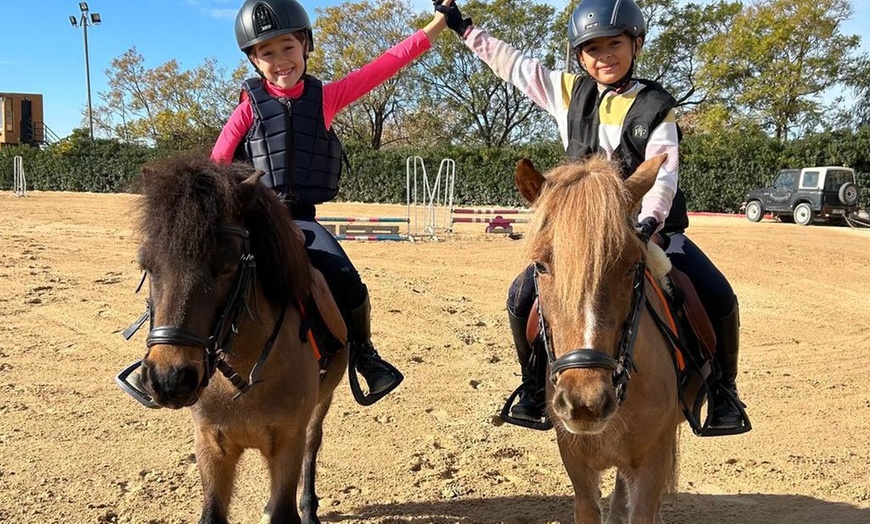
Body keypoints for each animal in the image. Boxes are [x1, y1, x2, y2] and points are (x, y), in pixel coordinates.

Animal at [127, 156, 350, 524]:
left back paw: (309, 507)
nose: (170, 379)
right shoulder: (211, 446)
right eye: (146, 264)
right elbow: (212, 514)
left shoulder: (287, 444)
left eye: (228, 266)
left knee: (313, 443)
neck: (243, 377)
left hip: (322, 403)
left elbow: (283, 506)